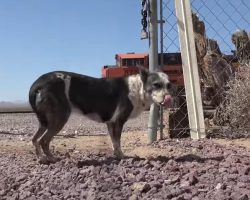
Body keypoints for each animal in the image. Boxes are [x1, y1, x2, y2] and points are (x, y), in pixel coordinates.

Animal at [28, 68, 172, 163]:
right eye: (156, 85)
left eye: (169, 86)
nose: (169, 98)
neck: (138, 88)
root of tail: (39, 82)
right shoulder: (118, 121)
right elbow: (117, 141)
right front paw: (121, 156)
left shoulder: (110, 123)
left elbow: (114, 142)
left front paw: (116, 155)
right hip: (60, 118)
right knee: (43, 140)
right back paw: (51, 158)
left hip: (45, 122)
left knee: (35, 139)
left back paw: (41, 158)